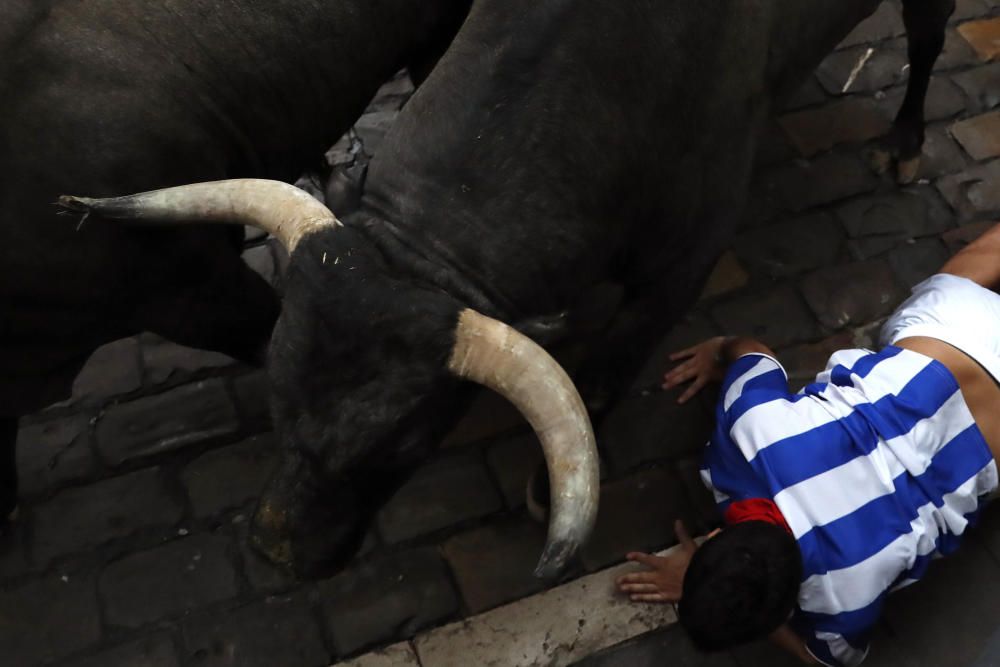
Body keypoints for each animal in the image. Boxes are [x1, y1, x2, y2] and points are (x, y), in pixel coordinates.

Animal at [39, 0, 956, 580]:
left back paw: (908, 140)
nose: (275, 554)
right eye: (276, 402)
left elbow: (605, 370)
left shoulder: (680, 267)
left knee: (928, 38)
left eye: (403, 446)